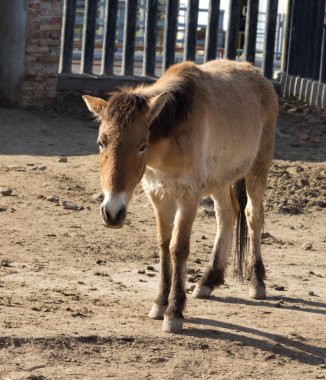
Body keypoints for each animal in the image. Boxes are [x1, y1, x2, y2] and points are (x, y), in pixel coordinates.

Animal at [81, 59, 278, 332]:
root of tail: (257, 75)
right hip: (219, 180)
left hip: (258, 167)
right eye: (101, 143)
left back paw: (257, 282)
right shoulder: (159, 197)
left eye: (142, 145)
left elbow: (179, 248)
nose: (112, 213)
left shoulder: (188, 197)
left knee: (253, 216)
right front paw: (159, 304)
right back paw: (208, 280)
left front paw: (174, 312)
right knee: (226, 215)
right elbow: (164, 246)